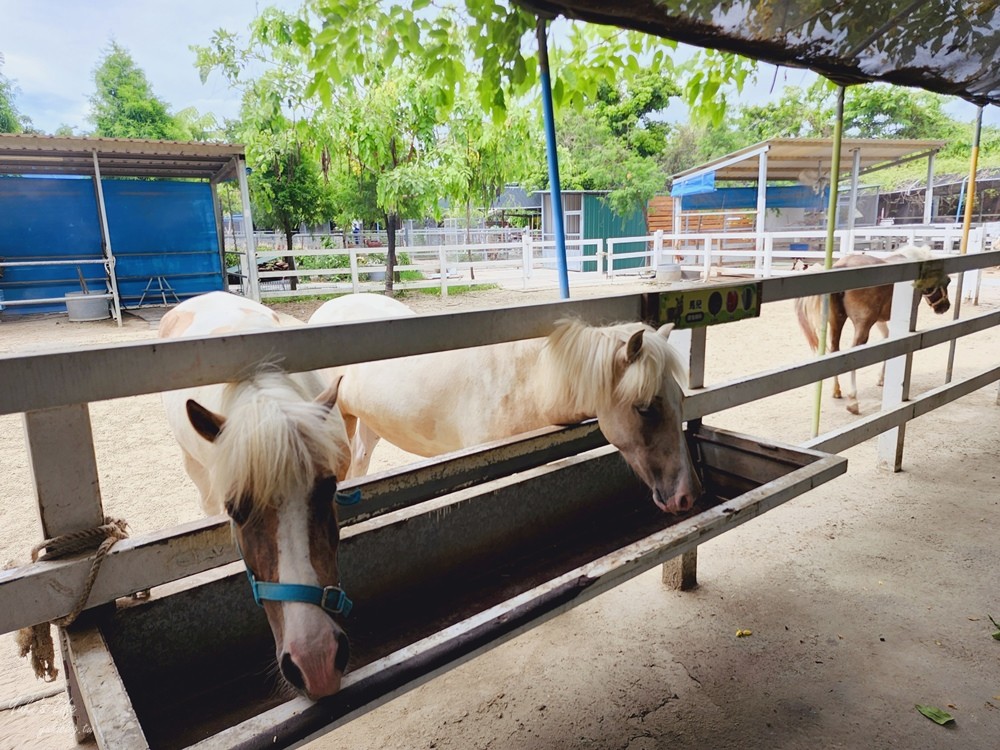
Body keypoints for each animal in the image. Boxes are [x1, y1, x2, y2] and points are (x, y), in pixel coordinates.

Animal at [796, 245, 952, 418]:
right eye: (948, 281)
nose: (945, 306)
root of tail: (842, 265)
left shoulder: (880, 320)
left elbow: (887, 340)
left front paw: (881, 379)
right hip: (862, 326)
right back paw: (853, 401)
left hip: (837, 321)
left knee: (835, 351)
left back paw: (836, 391)